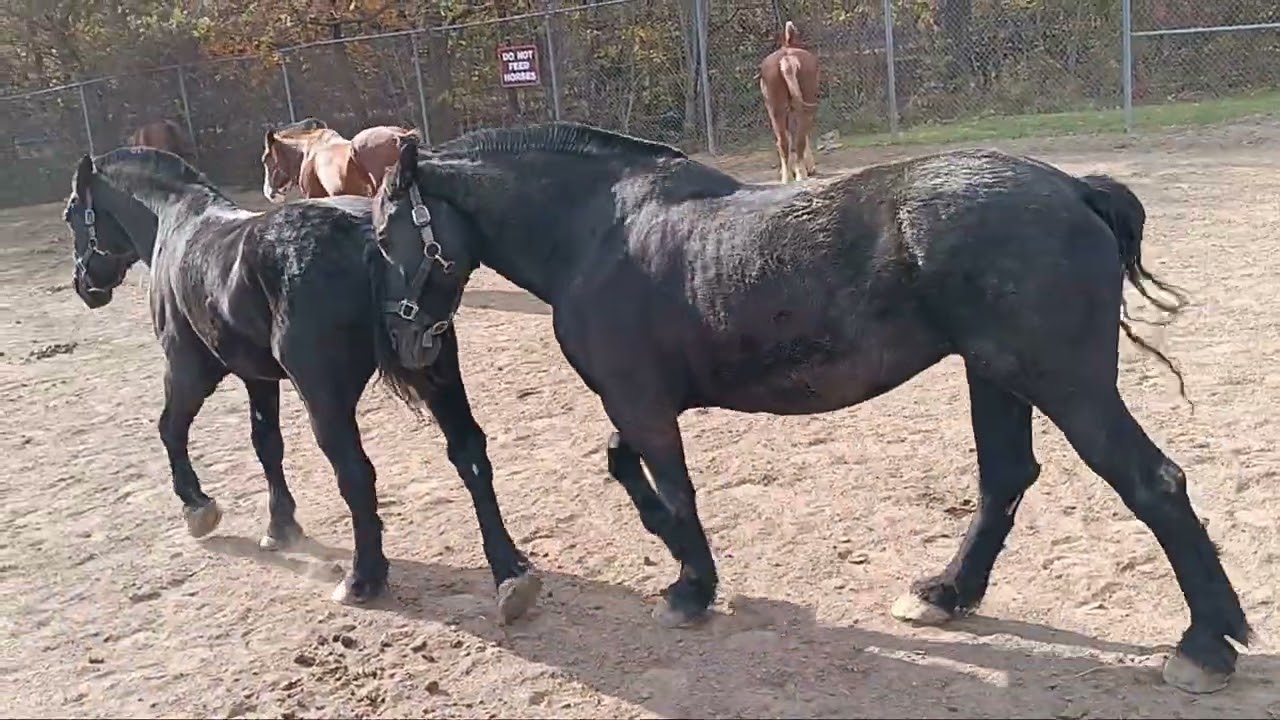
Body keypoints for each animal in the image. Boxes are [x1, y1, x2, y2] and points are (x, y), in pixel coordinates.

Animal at [61, 146, 541, 620]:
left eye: (72, 214)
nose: (84, 285)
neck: (179, 225)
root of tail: (367, 237)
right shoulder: (258, 378)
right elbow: (266, 444)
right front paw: (280, 525)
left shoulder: (189, 370)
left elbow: (170, 429)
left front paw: (197, 506)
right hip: (435, 371)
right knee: (469, 453)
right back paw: (511, 573)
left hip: (323, 398)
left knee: (355, 473)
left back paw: (363, 578)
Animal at [369, 122, 1250, 695]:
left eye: (384, 237)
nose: (403, 346)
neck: (598, 232)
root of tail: (1074, 188)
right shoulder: (638, 407)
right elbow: (628, 471)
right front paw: (681, 561)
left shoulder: (642, 403)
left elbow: (673, 488)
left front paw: (691, 587)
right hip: (996, 377)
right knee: (1005, 479)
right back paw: (946, 593)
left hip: (1062, 382)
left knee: (1152, 483)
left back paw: (1206, 645)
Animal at [759, 21, 819, 183]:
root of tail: (787, 61)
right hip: (804, 104)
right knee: (799, 139)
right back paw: (801, 175)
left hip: (775, 108)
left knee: (783, 142)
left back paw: (787, 178)